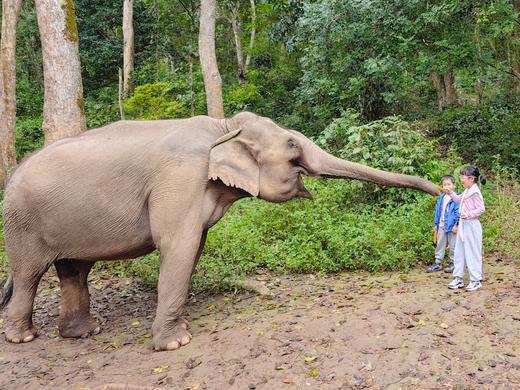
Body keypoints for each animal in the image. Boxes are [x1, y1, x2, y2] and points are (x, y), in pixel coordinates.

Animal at [0, 112, 440, 350]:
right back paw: (23, 338)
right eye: (293, 148)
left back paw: (83, 332)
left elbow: (195, 247)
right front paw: (176, 343)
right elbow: (178, 246)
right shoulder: (179, 179)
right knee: (29, 275)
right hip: (23, 224)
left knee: (74, 270)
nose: (442, 190)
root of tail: (14, 172)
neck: (222, 126)